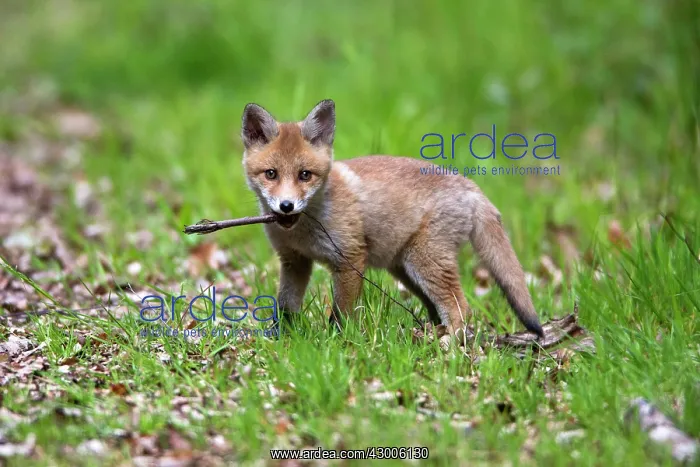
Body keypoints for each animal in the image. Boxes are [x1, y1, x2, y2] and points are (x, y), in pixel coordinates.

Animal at [240, 99, 544, 339]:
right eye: (271, 174)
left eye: (305, 175)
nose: (286, 206)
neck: (302, 230)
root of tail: (469, 185)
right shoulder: (295, 262)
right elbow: (285, 306)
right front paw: (282, 338)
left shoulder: (350, 258)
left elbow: (341, 314)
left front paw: (338, 343)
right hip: (406, 269)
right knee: (437, 308)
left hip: (425, 262)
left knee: (460, 307)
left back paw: (450, 345)